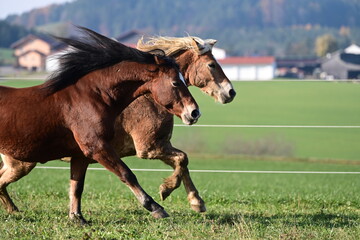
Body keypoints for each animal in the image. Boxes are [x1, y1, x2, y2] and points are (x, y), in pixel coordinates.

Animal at [0, 27, 201, 222]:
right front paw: (156, 207)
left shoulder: (80, 155)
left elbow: (76, 186)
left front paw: (77, 218)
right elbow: (127, 174)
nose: (194, 112)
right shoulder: (98, 148)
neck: (91, 98)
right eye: (175, 82)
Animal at [67, 35, 236, 221]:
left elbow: (182, 164)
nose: (231, 92)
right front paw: (166, 190)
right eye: (211, 64)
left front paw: (196, 202)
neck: (148, 96)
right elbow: (182, 159)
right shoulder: (149, 148)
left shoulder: (161, 145)